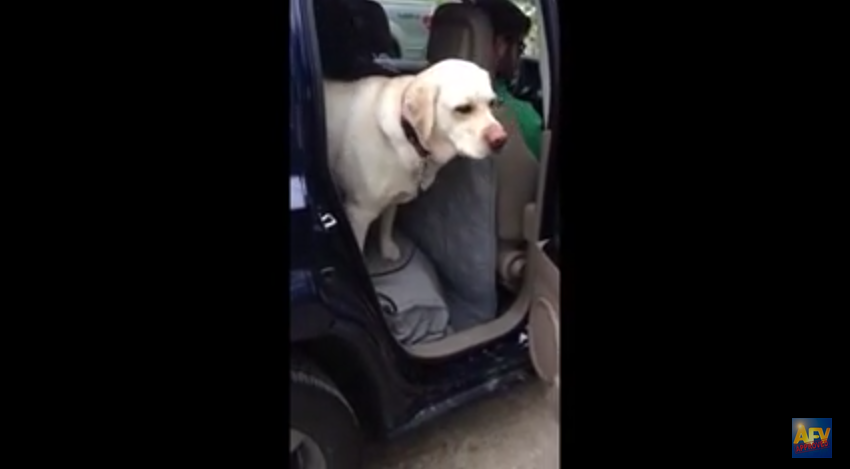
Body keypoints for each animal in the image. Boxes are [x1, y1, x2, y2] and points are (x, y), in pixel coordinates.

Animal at [320, 58, 504, 260]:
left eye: (492, 103)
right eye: (463, 109)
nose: (501, 140)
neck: (409, 134)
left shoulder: (394, 198)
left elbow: (387, 224)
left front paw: (387, 248)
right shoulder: (358, 212)